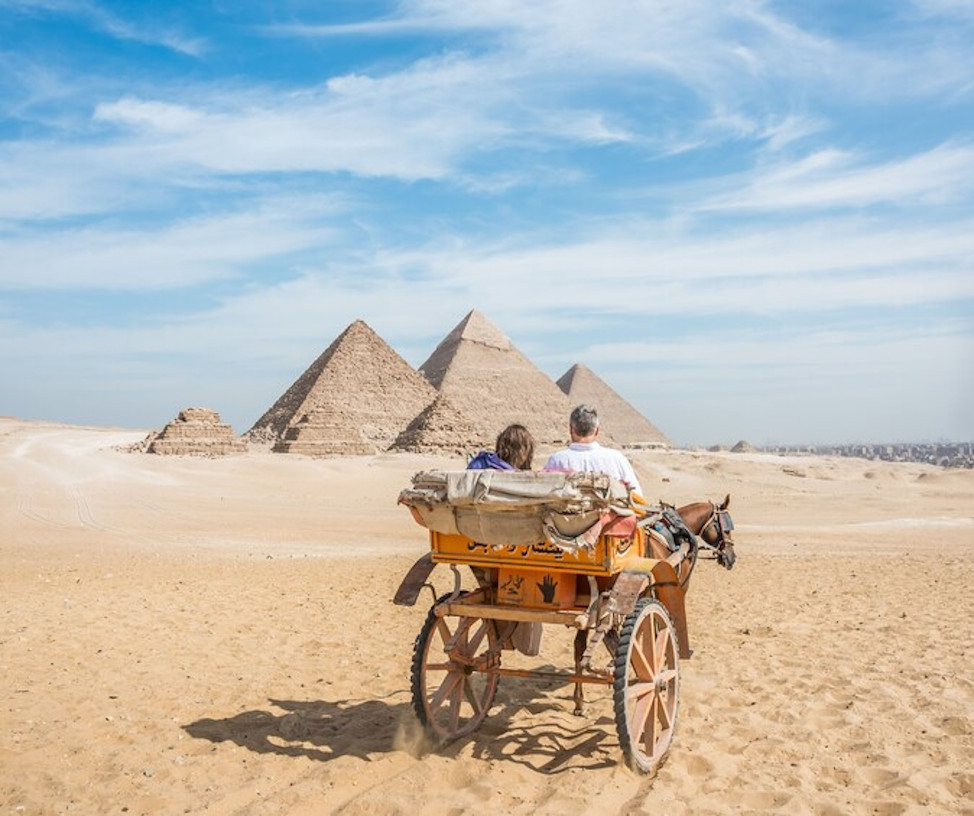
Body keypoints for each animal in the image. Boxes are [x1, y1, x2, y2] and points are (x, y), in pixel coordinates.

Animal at [572, 490, 740, 712]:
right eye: (726, 527)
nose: (731, 557)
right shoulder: (677, 588)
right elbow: (661, 626)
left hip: (590, 603)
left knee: (581, 644)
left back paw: (579, 700)